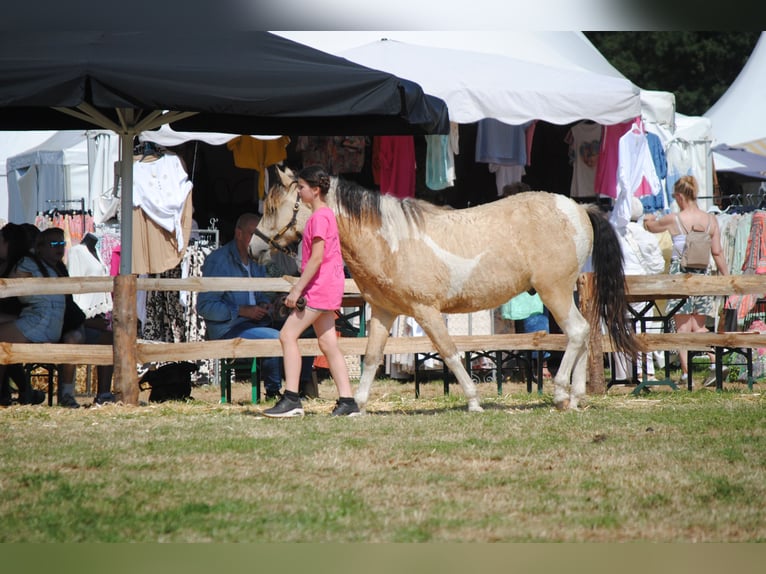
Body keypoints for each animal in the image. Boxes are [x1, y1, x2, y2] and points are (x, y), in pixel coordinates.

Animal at [250, 167, 638, 412]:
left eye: (272, 206)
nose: (254, 248)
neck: (392, 240)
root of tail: (577, 207)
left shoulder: (426, 311)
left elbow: (450, 353)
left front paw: (473, 401)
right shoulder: (383, 312)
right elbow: (373, 357)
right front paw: (356, 404)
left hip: (553, 291)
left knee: (577, 332)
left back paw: (560, 395)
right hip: (564, 291)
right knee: (583, 332)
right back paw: (575, 397)